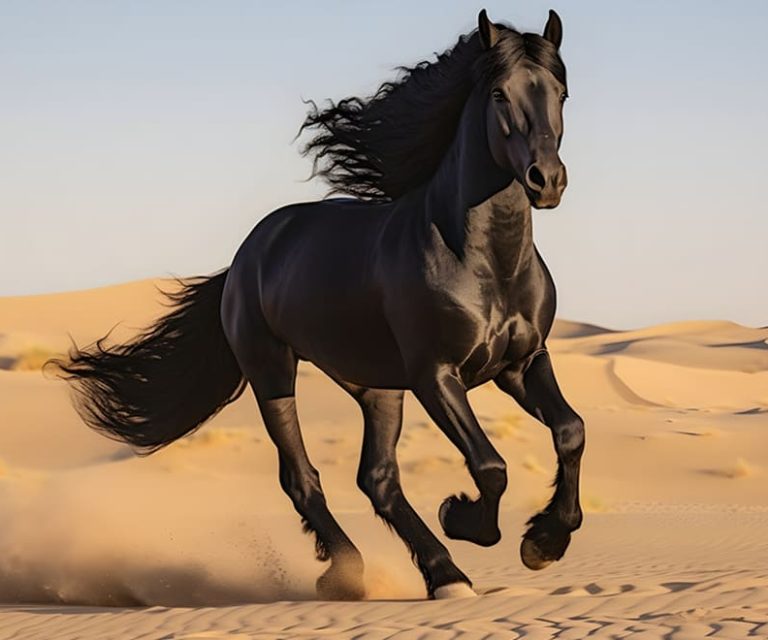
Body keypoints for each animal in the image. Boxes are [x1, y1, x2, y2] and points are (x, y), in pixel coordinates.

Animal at [52, 9, 584, 600]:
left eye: (562, 92)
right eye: (497, 93)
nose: (547, 181)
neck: (483, 261)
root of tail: (247, 255)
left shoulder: (521, 363)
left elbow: (570, 431)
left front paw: (544, 542)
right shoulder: (437, 376)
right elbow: (490, 465)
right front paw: (463, 517)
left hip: (377, 387)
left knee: (378, 480)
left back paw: (443, 573)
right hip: (272, 372)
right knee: (301, 478)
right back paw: (358, 572)